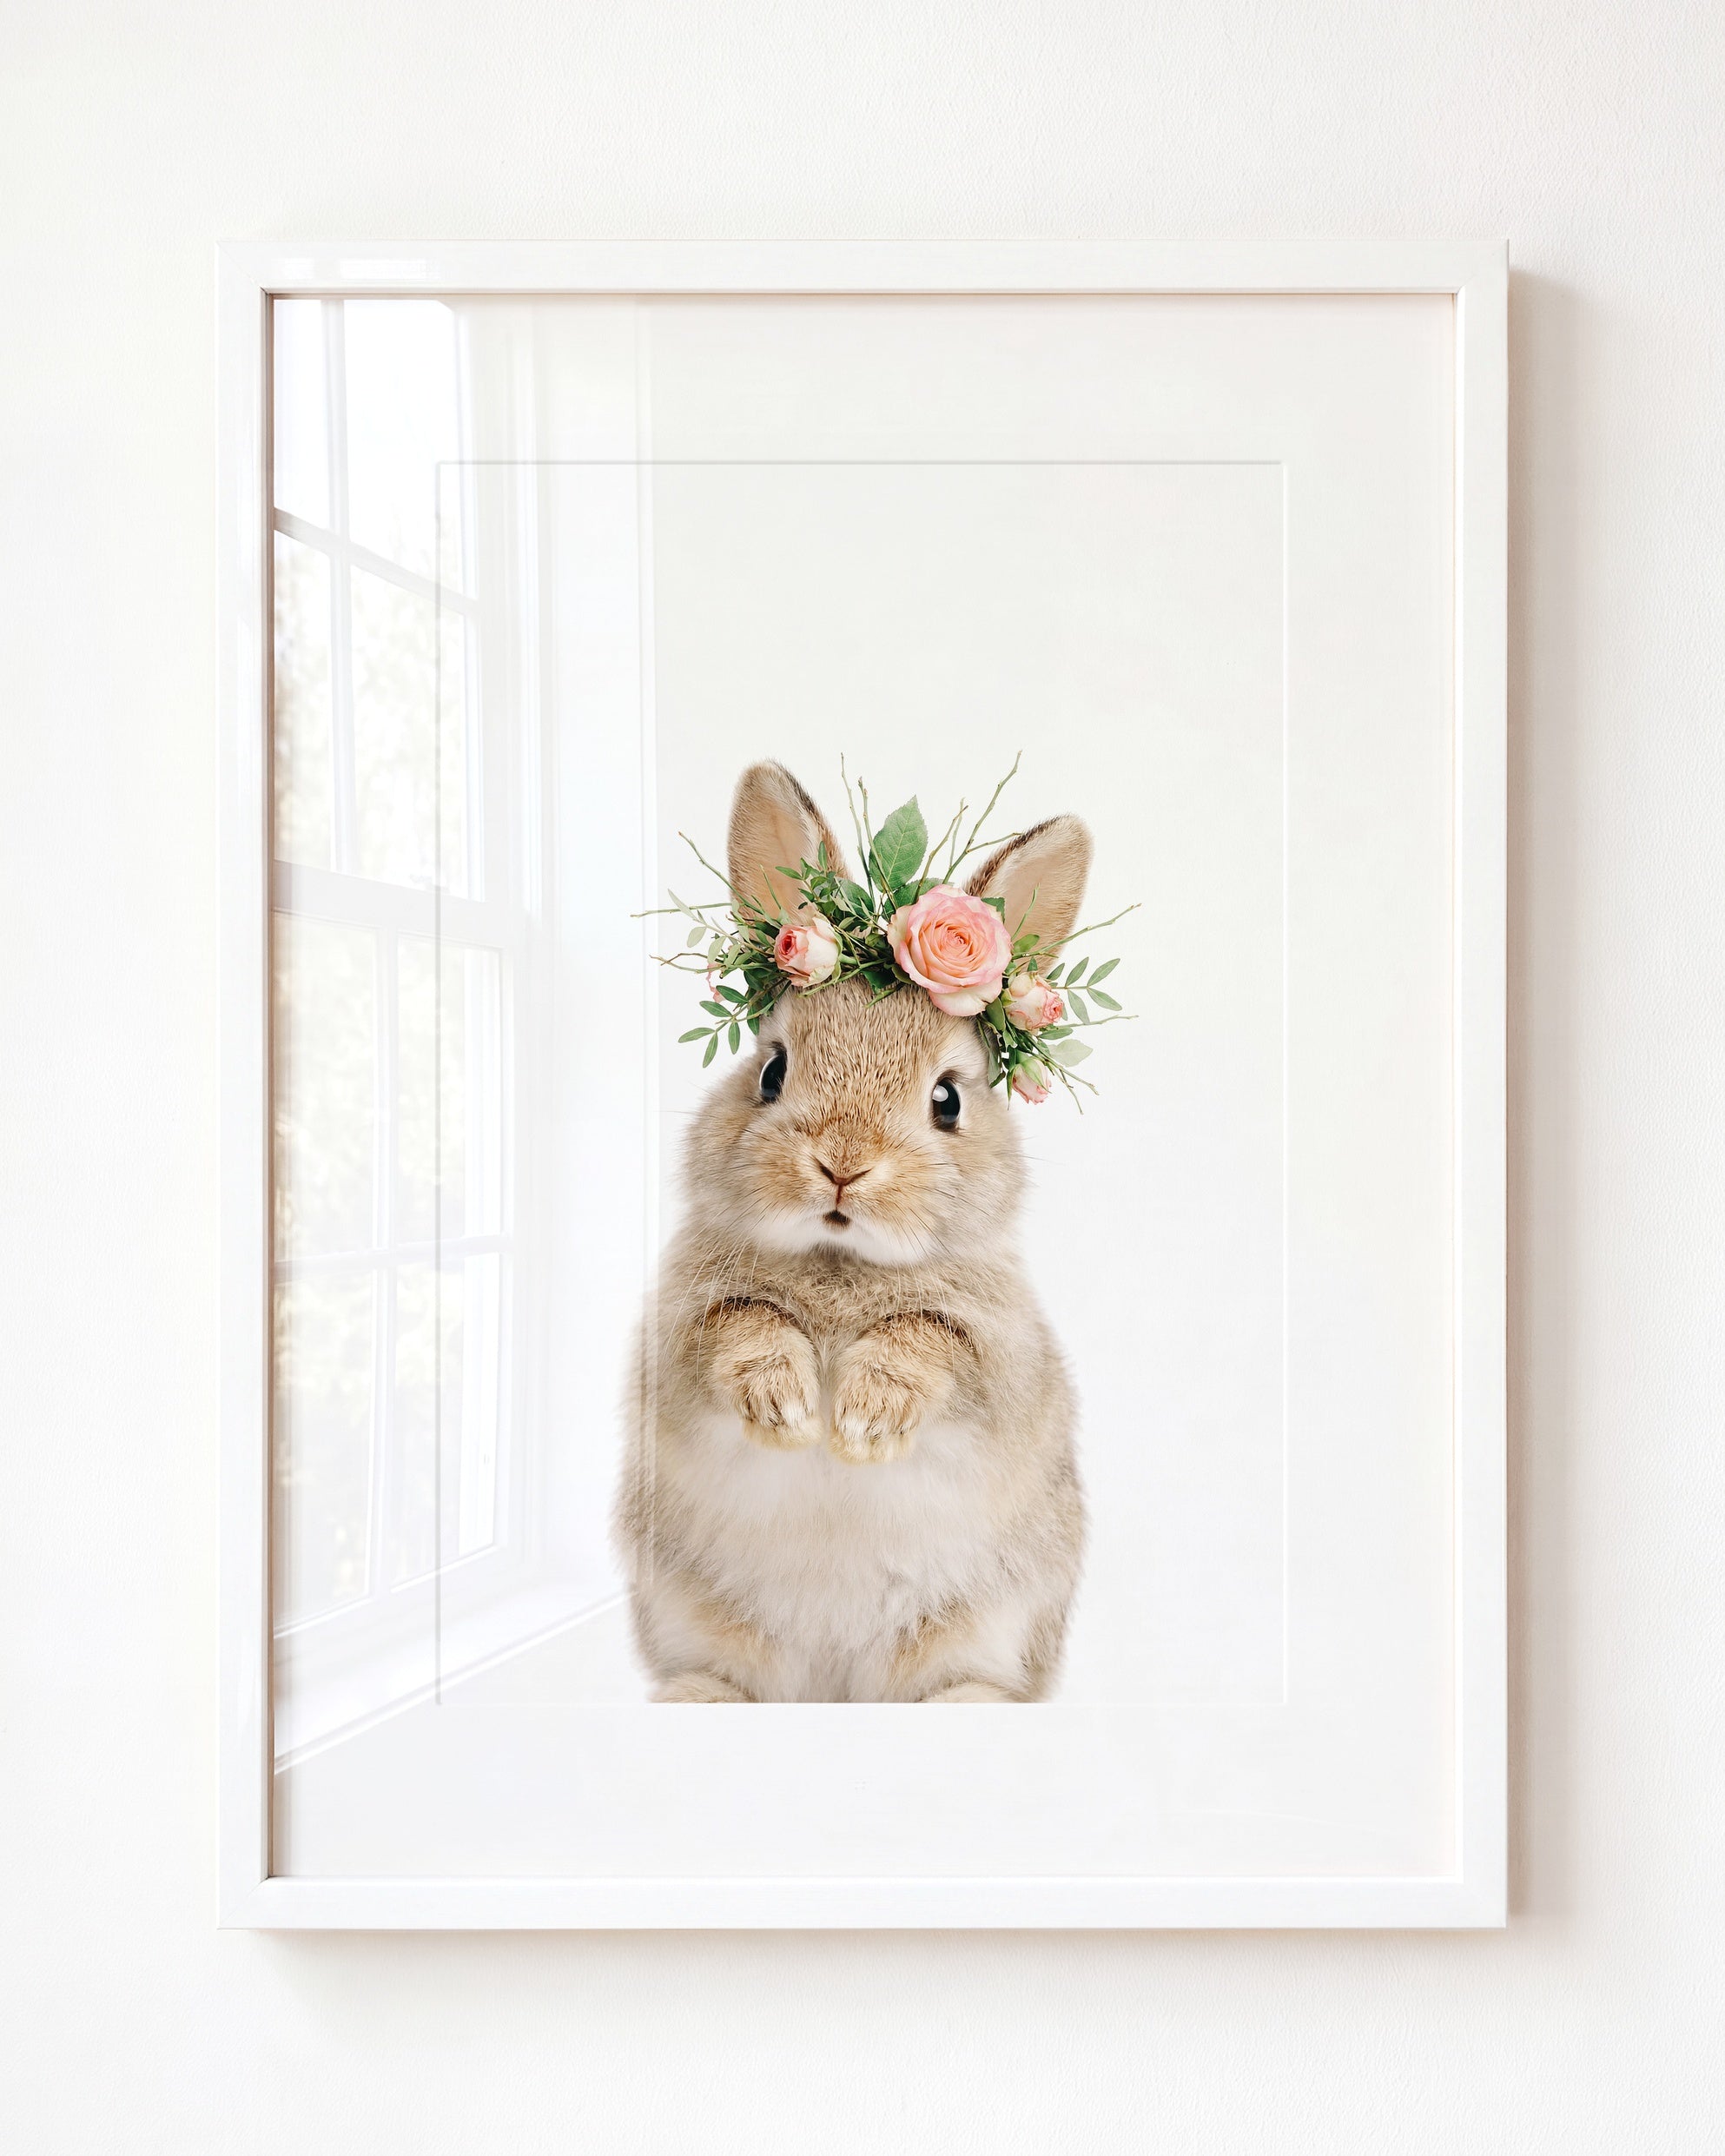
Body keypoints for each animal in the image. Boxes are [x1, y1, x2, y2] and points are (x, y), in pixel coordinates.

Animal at [615, 761, 1089, 1702]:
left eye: (947, 1099)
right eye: (770, 1070)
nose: (842, 1164)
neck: (839, 1261)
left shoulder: (1001, 1360)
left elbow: (929, 1339)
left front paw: (863, 1421)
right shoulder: (679, 1340)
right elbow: (741, 1325)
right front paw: (789, 1407)